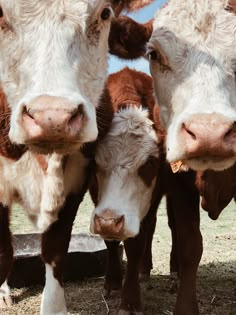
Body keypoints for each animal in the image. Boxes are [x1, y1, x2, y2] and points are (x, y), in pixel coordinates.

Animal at [89, 68, 166, 314]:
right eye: (94, 162)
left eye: (150, 163)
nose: (109, 221)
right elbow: (111, 242)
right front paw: (112, 282)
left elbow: (135, 244)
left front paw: (130, 300)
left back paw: (145, 269)